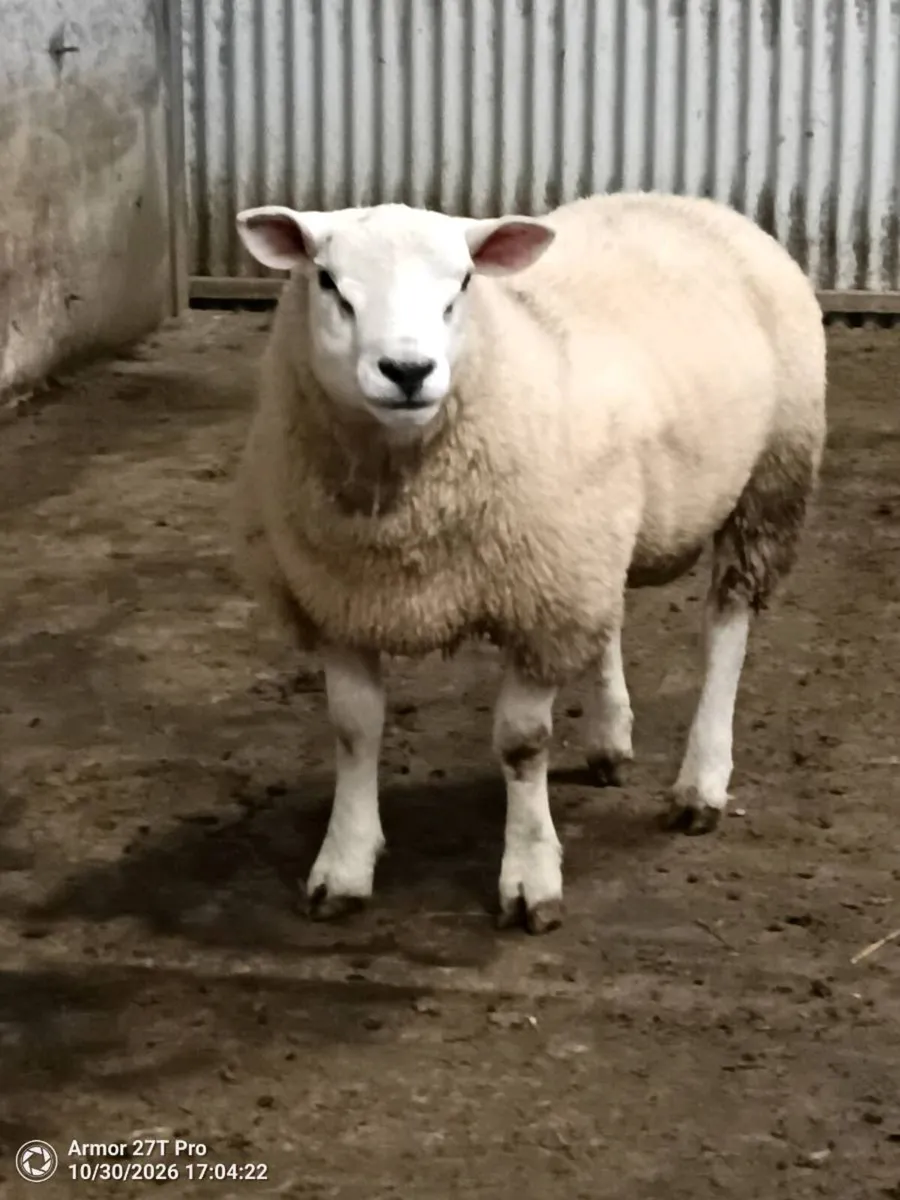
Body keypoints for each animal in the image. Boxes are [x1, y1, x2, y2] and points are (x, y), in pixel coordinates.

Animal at [232, 191, 827, 935]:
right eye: (329, 282)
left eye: (462, 284)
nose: (407, 371)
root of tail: (681, 200)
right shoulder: (337, 600)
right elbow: (353, 729)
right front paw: (343, 863)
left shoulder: (541, 600)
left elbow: (520, 743)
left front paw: (530, 877)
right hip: (593, 536)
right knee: (609, 621)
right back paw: (609, 740)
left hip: (769, 481)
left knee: (727, 624)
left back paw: (701, 781)